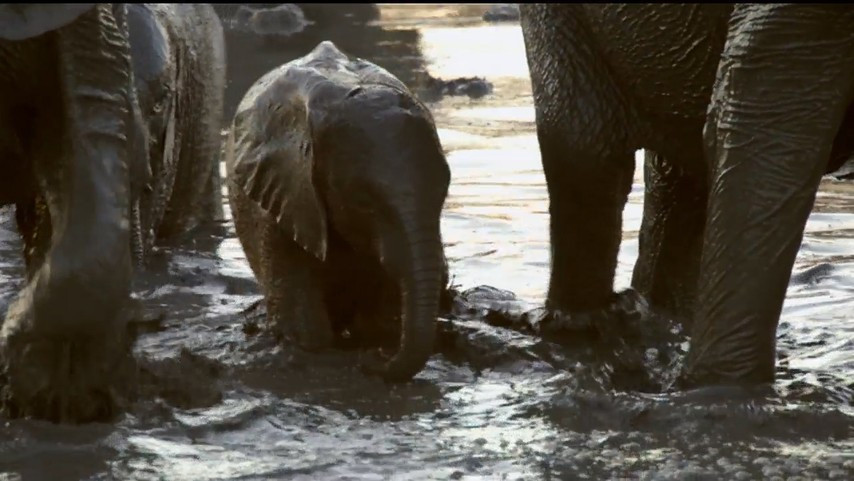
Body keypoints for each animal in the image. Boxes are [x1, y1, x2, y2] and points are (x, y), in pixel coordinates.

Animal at [225, 41, 451, 382]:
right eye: (363, 202)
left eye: (444, 193)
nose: (374, 358)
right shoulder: (284, 195)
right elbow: (307, 331)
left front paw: (373, 339)